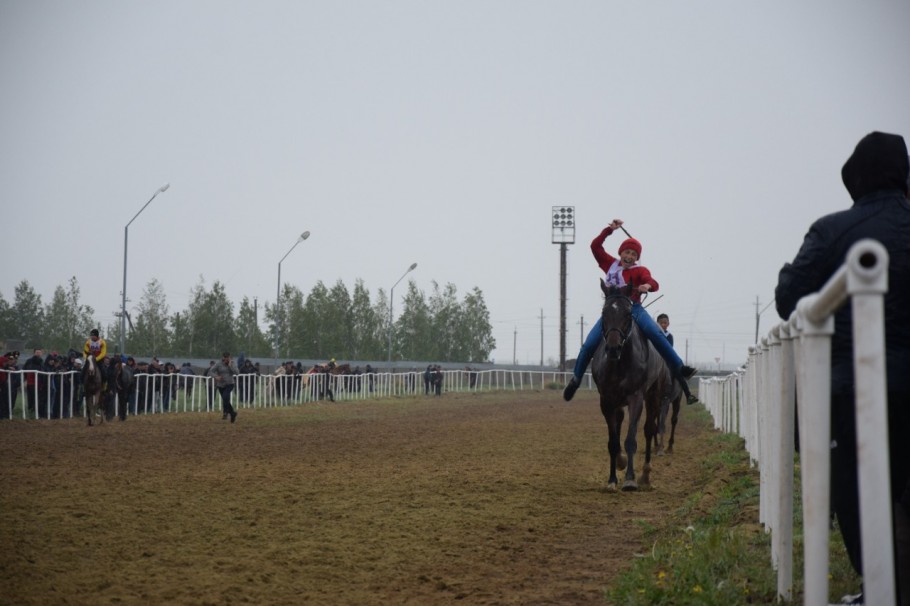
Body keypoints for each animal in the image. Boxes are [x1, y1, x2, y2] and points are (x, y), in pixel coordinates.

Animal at [592, 282, 676, 492]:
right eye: (604, 313)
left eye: (628, 314)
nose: (613, 348)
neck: (618, 364)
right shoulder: (606, 401)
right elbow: (613, 442)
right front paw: (612, 479)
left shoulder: (636, 397)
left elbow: (630, 439)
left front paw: (630, 479)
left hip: (654, 396)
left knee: (649, 429)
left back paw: (645, 474)